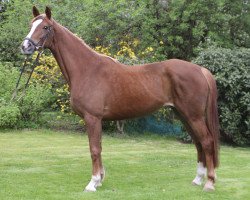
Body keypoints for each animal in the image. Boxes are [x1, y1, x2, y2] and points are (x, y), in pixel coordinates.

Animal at [22, 6, 220, 192]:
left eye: (45, 27)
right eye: (31, 25)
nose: (25, 47)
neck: (87, 69)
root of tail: (200, 70)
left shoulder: (92, 118)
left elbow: (94, 149)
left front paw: (92, 183)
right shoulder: (97, 120)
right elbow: (99, 148)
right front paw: (100, 180)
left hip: (193, 116)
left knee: (207, 142)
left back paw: (209, 183)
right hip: (183, 115)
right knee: (198, 143)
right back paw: (198, 179)